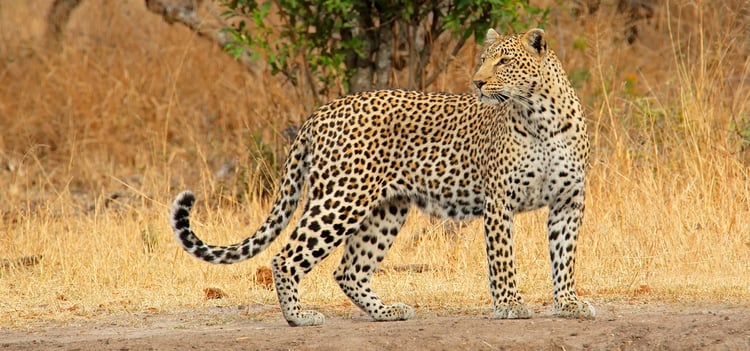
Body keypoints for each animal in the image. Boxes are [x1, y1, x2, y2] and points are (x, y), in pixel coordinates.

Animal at [172, 27, 600, 328]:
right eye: (484, 59)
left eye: (505, 62)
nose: (477, 82)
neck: (540, 117)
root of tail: (320, 112)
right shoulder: (500, 201)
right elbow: (502, 258)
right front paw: (510, 304)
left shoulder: (568, 201)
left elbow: (565, 255)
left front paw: (569, 303)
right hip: (341, 200)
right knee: (286, 256)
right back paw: (299, 317)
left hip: (385, 209)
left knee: (349, 269)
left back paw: (386, 312)